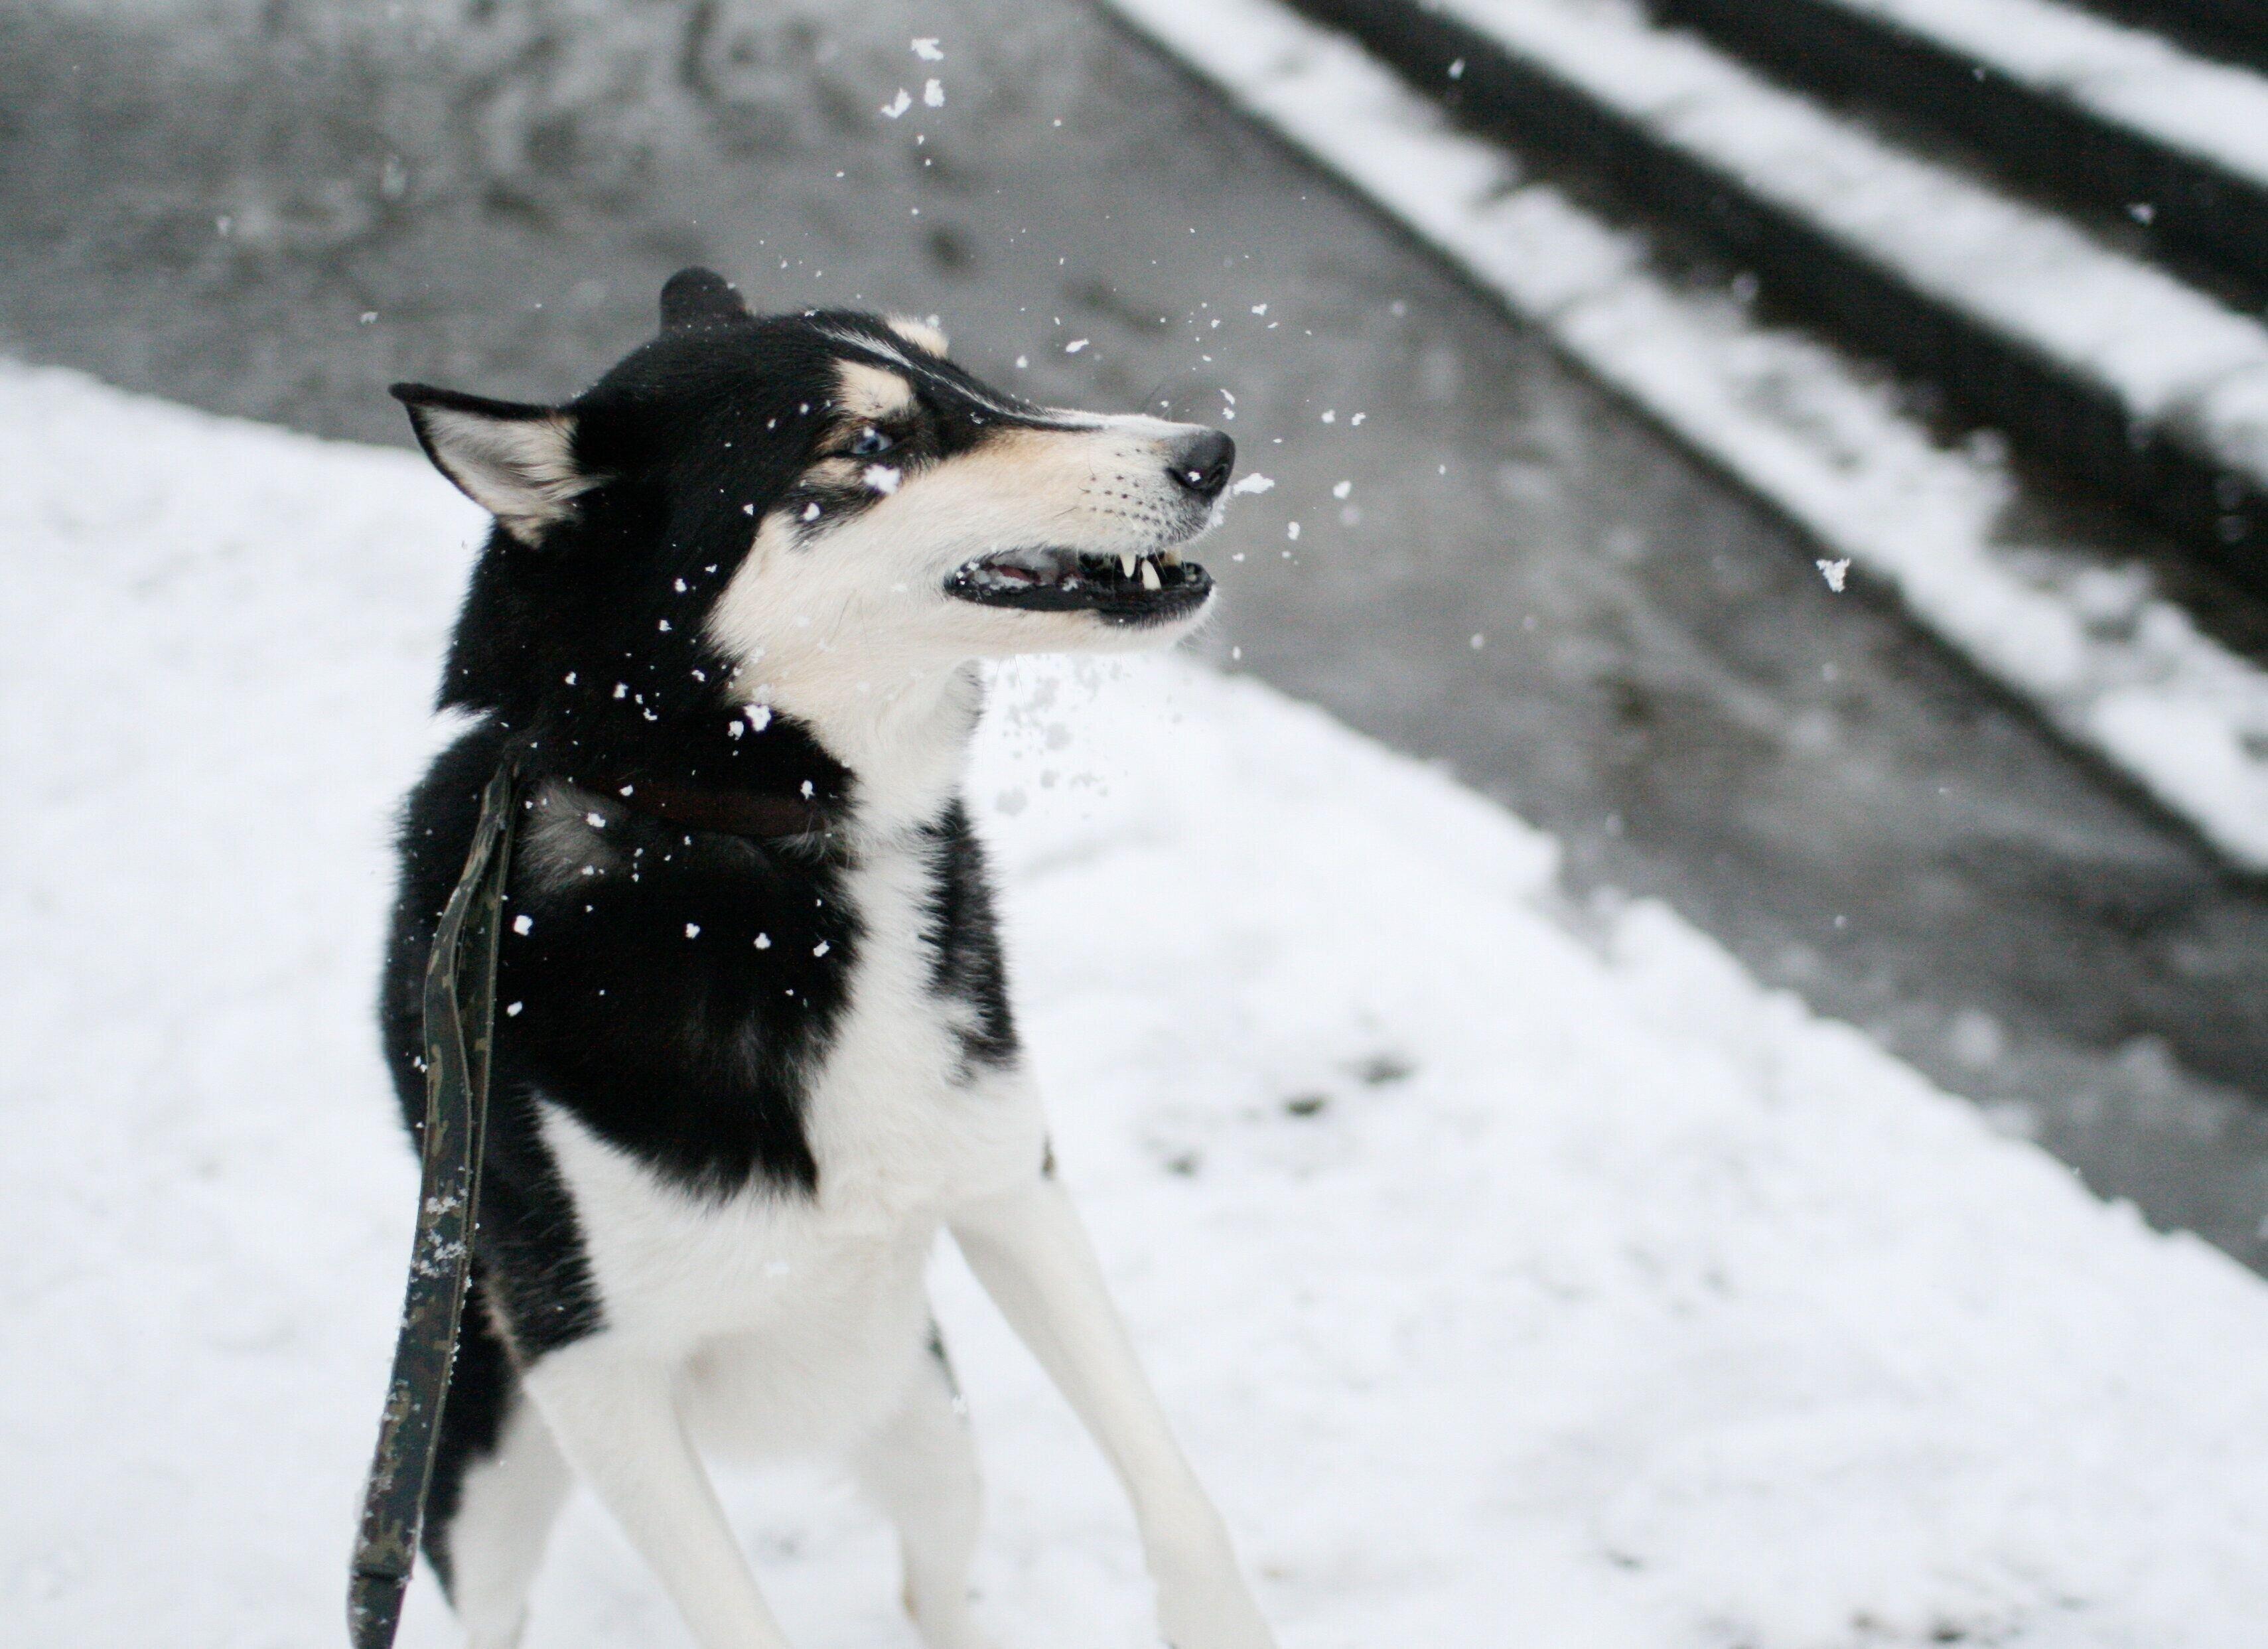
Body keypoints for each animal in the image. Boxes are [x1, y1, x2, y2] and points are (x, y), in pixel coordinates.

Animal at [379, 268, 1274, 1649]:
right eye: (868, 443)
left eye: (960, 370)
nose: (1207, 452)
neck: (768, 864)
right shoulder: (594, 1373)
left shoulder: (1008, 1183)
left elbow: (1175, 1497)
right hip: (479, 1468)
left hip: (930, 1428)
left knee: (936, 1584)